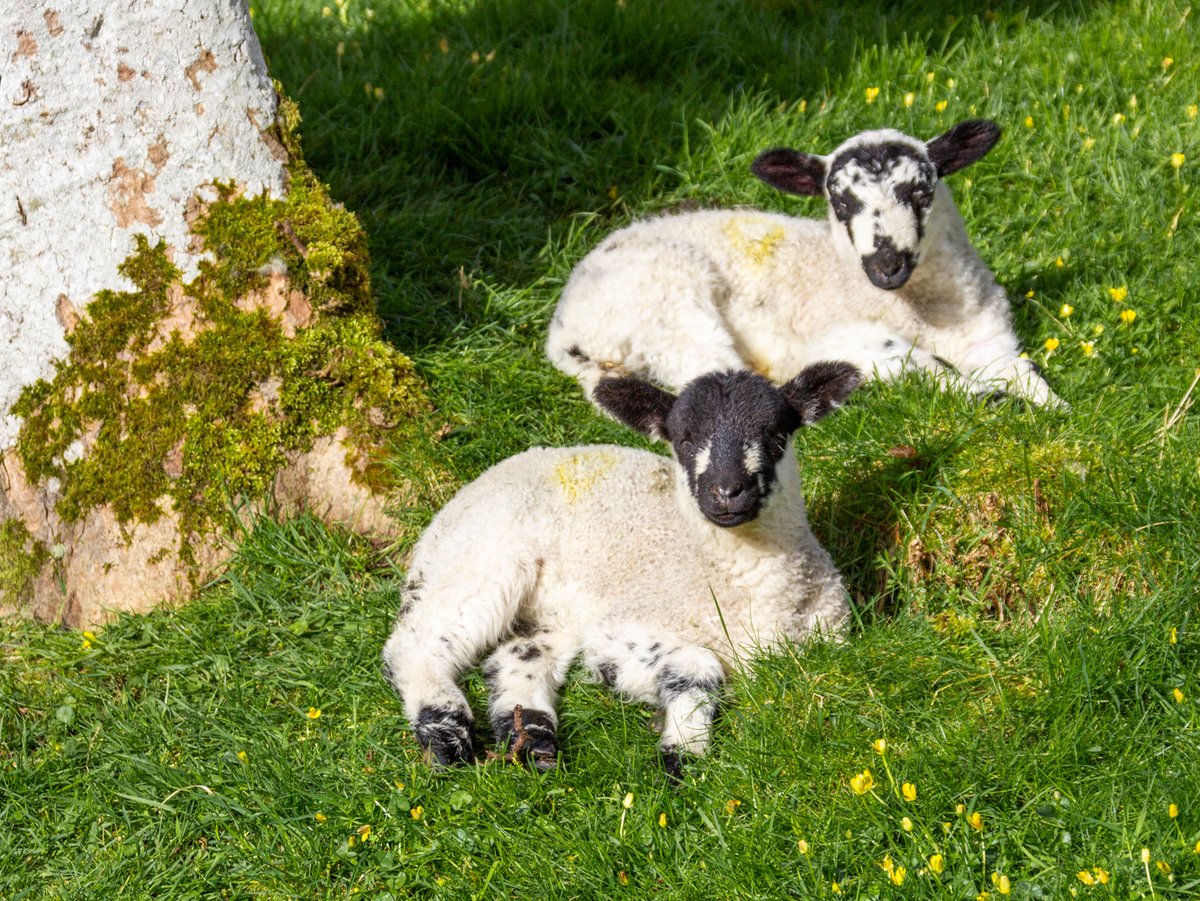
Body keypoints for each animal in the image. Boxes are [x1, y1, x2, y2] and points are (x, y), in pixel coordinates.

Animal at [384, 359, 864, 777]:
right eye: (683, 439)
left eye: (777, 434)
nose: (727, 491)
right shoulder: (623, 630)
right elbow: (699, 668)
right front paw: (681, 755)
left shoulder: (832, 636)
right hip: (477, 557)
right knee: (416, 646)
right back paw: (446, 734)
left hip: (551, 611)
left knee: (516, 654)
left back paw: (533, 741)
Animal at [549, 118, 1065, 407]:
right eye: (841, 203)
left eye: (921, 192)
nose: (886, 266)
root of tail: (562, 331)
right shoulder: (843, 337)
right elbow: (919, 366)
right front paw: (996, 401)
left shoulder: (989, 340)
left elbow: (1027, 374)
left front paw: (1053, 408)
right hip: (669, 307)